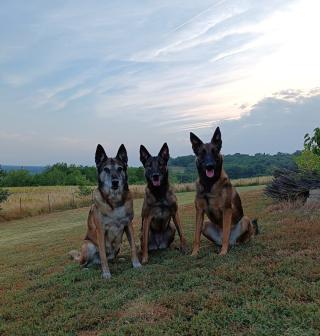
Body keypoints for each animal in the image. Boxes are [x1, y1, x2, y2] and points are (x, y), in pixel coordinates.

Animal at [69, 144, 141, 278]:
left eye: (120, 169)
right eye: (106, 169)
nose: (115, 182)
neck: (115, 202)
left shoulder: (128, 225)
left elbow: (133, 246)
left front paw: (136, 264)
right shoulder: (101, 230)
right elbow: (103, 255)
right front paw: (106, 273)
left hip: (118, 245)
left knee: (109, 258)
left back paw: (118, 260)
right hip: (88, 245)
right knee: (85, 263)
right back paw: (86, 269)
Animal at [189, 127, 258, 256]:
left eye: (214, 151)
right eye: (202, 153)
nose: (209, 166)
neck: (209, 184)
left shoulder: (226, 209)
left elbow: (226, 232)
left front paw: (223, 252)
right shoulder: (199, 211)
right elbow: (196, 236)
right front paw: (194, 252)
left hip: (245, 220)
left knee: (241, 238)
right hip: (205, 224)